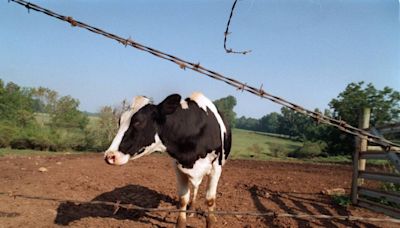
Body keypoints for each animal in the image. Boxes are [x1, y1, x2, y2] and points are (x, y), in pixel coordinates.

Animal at [104, 91, 231, 227]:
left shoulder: (216, 167)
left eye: (138, 122)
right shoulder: (179, 167)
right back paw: (191, 209)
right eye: (120, 121)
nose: (109, 156)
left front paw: (211, 220)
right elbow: (183, 199)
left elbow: (210, 200)